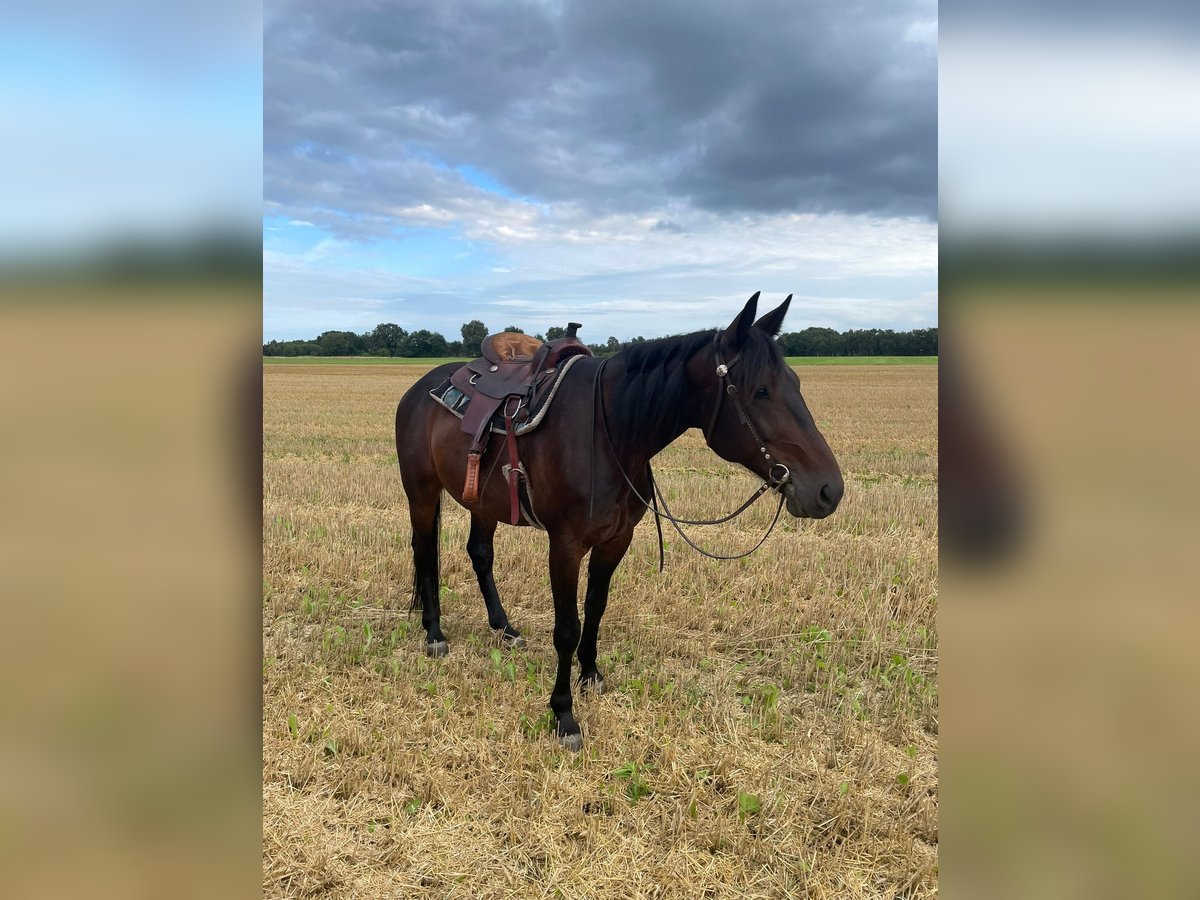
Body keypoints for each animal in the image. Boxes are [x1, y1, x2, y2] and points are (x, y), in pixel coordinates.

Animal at [396, 292, 844, 748]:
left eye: (796, 383)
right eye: (761, 391)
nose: (829, 490)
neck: (610, 431)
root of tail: (419, 389)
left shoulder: (616, 540)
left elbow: (595, 608)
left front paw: (590, 675)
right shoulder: (566, 546)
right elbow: (567, 628)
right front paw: (564, 715)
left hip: (484, 504)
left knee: (480, 554)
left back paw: (504, 628)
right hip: (421, 492)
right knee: (425, 550)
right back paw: (434, 633)